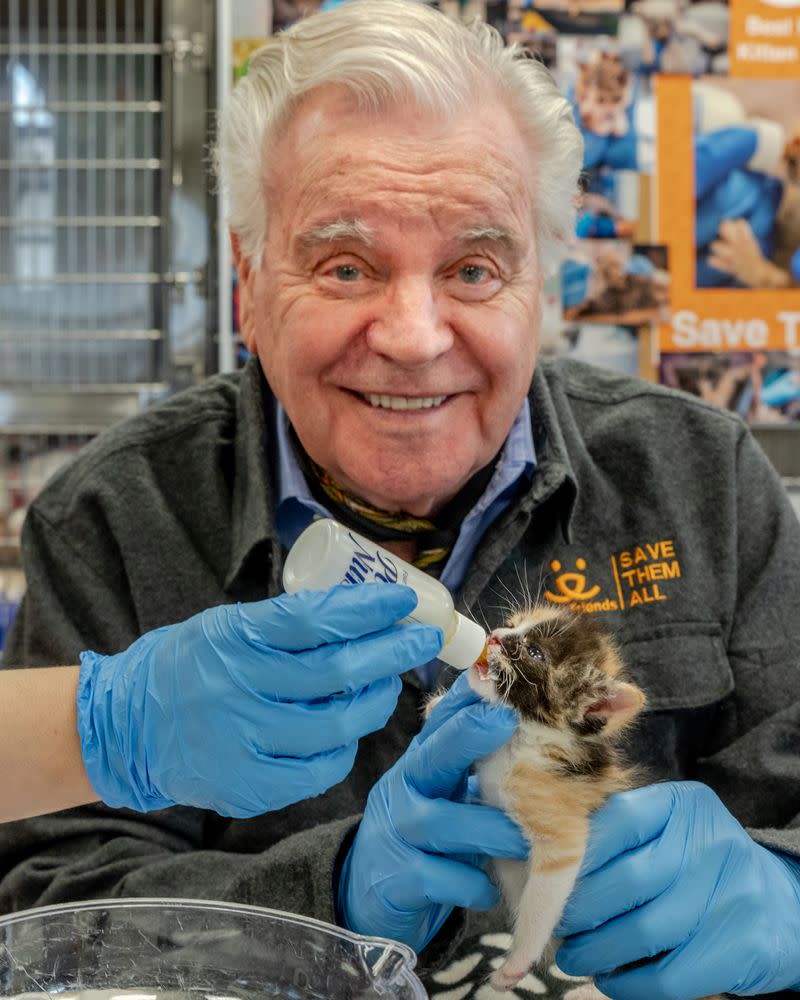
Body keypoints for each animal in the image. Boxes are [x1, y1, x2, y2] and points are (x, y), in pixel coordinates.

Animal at [432, 600, 644, 992]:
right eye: (512, 624)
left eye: (534, 653)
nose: (494, 636)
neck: (520, 741)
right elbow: (519, 891)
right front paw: (438, 707)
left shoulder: (563, 841)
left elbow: (537, 908)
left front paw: (513, 967)